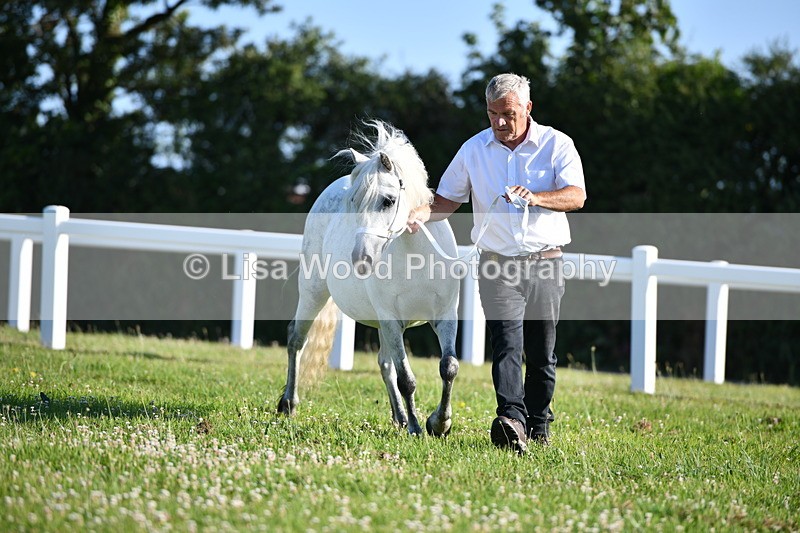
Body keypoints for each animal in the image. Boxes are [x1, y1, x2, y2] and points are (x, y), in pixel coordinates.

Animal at [277, 120, 461, 437]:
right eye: (354, 201)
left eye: (388, 200)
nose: (361, 258)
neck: (415, 258)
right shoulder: (391, 320)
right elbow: (406, 379)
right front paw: (418, 428)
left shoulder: (444, 316)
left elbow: (448, 367)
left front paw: (439, 423)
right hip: (314, 294)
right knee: (296, 340)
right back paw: (289, 404)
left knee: (384, 364)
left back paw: (399, 417)